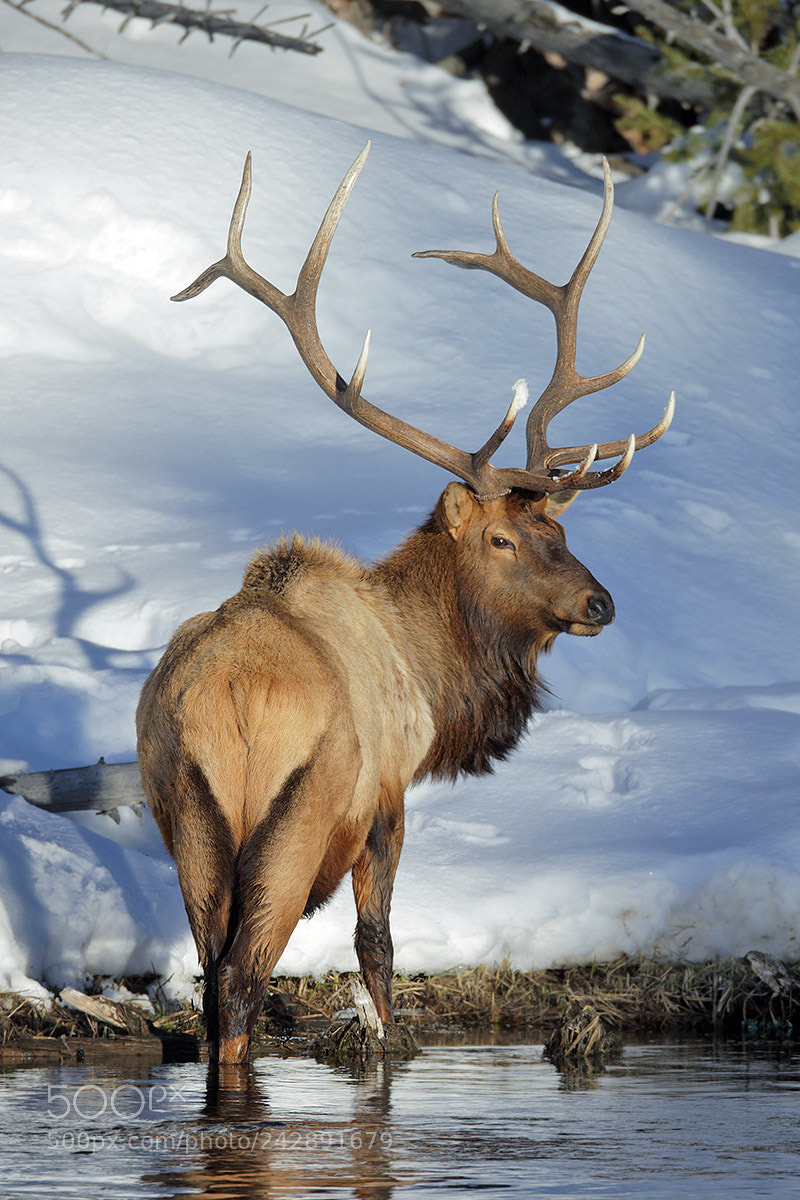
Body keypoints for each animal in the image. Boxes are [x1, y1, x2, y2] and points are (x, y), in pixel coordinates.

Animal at [136, 143, 674, 1065]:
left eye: (557, 528)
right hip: (299, 816)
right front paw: (390, 1043)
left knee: (211, 984)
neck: (430, 668)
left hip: (187, 813)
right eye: (501, 540)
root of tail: (230, 694)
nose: (599, 603)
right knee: (242, 981)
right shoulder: (389, 794)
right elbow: (378, 944)